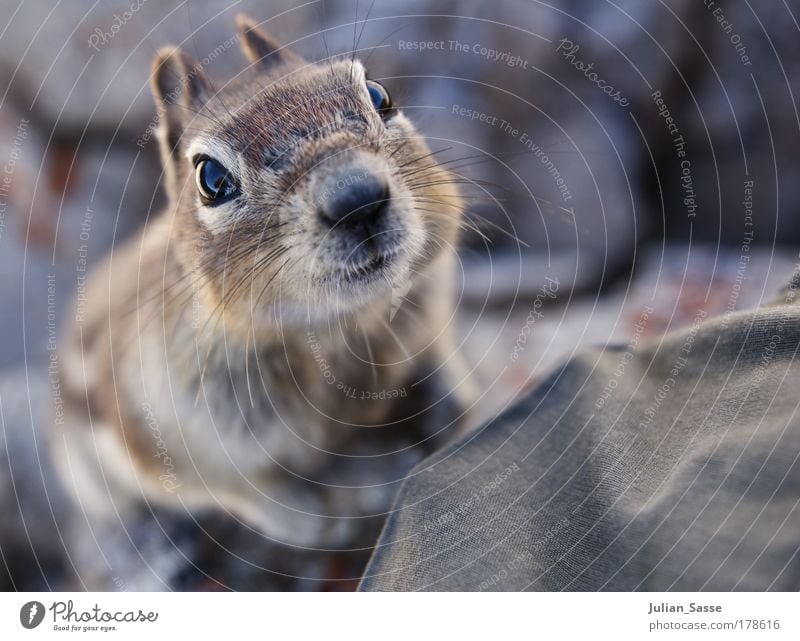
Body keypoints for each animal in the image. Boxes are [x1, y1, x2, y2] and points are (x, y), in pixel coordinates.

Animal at [50, 13, 472, 556]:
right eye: (210, 177)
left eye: (380, 95)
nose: (356, 198)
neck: (337, 327)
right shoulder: (176, 434)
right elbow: (243, 488)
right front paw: (313, 522)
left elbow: (440, 358)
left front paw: (457, 404)